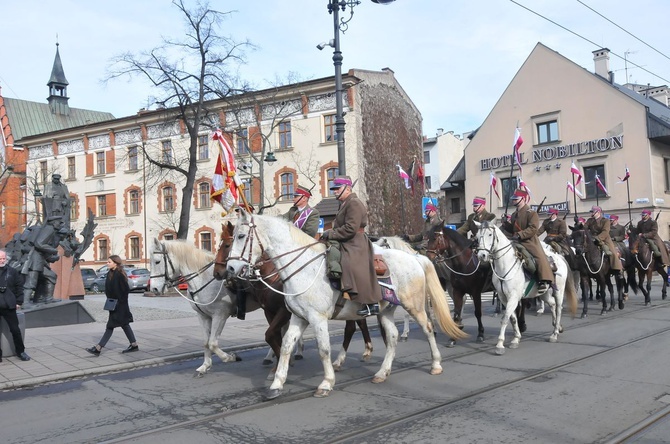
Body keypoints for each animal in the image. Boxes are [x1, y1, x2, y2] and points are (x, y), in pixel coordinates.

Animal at [214, 221, 376, 372]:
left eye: (228, 245)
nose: (217, 272)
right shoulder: (269, 311)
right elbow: (274, 335)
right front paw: (279, 362)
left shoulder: (284, 311)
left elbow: (271, 334)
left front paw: (284, 361)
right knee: (356, 324)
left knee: (353, 327)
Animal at [472, 220, 576, 356]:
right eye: (477, 236)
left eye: (490, 234)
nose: (482, 255)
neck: (505, 265)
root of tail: (559, 257)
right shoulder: (504, 298)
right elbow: (512, 318)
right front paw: (516, 338)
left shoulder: (513, 297)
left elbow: (505, 319)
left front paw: (500, 344)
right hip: (544, 293)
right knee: (552, 304)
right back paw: (557, 326)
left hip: (559, 291)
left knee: (558, 308)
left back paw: (554, 334)